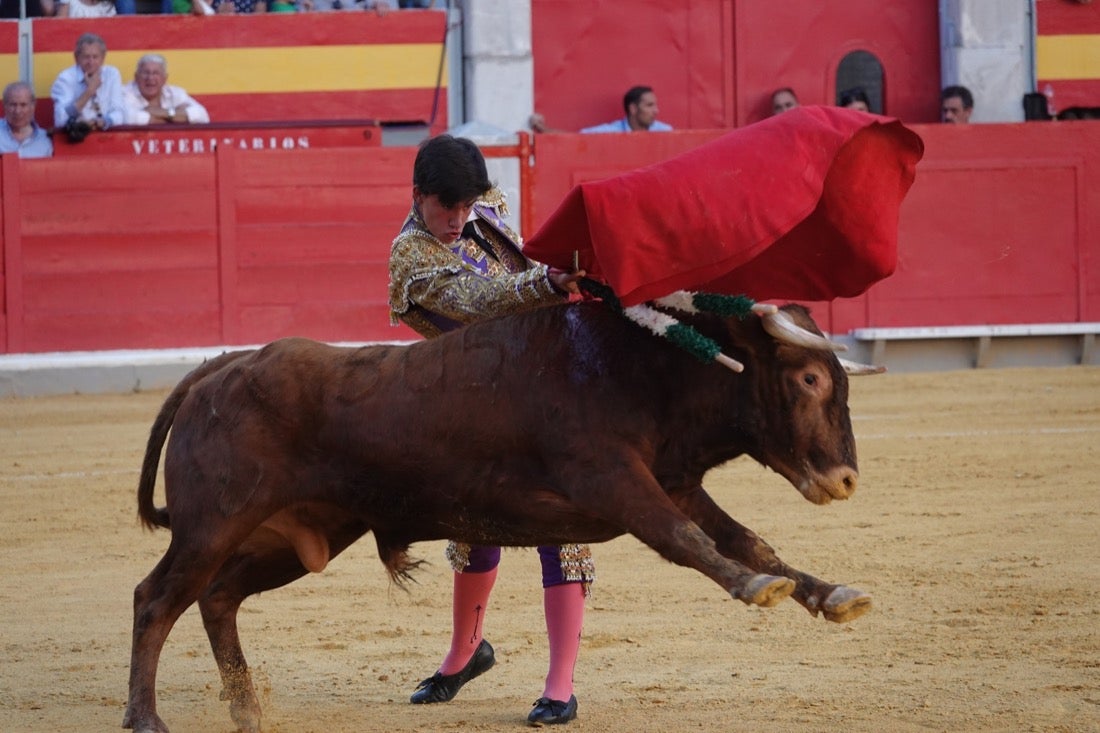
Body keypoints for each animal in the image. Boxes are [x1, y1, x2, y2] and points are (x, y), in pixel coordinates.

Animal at [122, 299, 875, 730]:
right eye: (810, 378)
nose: (845, 479)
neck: (641, 367)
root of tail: (222, 368)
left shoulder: (675, 482)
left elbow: (748, 539)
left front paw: (830, 593)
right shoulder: (614, 479)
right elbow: (689, 540)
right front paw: (758, 589)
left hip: (295, 538)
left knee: (217, 597)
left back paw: (248, 709)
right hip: (212, 524)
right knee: (155, 598)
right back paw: (147, 717)